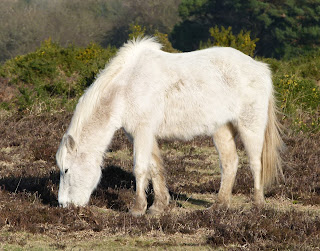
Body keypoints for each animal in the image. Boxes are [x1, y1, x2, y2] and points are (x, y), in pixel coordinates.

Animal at [57, 36, 282, 216]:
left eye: (66, 170)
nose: (63, 205)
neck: (127, 87)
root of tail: (260, 68)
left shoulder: (143, 132)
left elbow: (140, 168)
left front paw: (137, 209)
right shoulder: (142, 135)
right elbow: (155, 168)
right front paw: (158, 206)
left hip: (250, 126)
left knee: (255, 163)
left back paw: (258, 205)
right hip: (222, 129)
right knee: (229, 163)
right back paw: (219, 205)